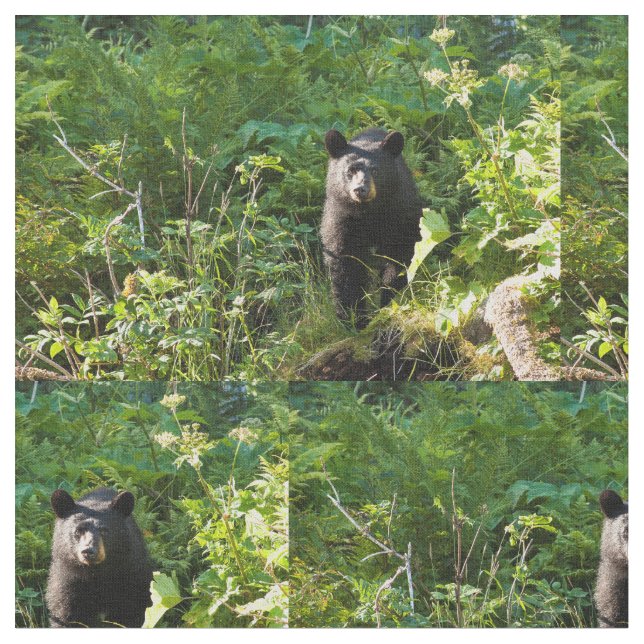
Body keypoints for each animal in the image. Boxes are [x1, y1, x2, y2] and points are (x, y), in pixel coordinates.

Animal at [45, 487, 153, 628]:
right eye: (78, 531)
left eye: (104, 531)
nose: (88, 551)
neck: (96, 573)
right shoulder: (67, 580)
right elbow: (65, 614)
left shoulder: (132, 576)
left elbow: (131, 612)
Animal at [320, 128, 422, 328]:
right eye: (350, 171)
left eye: (375, 170)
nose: (360, 189)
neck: (369, 213)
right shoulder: (341, 220)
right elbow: (345, 264)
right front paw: (353, 318)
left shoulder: (400, 213)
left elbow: (400, 254)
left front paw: (388, 299)